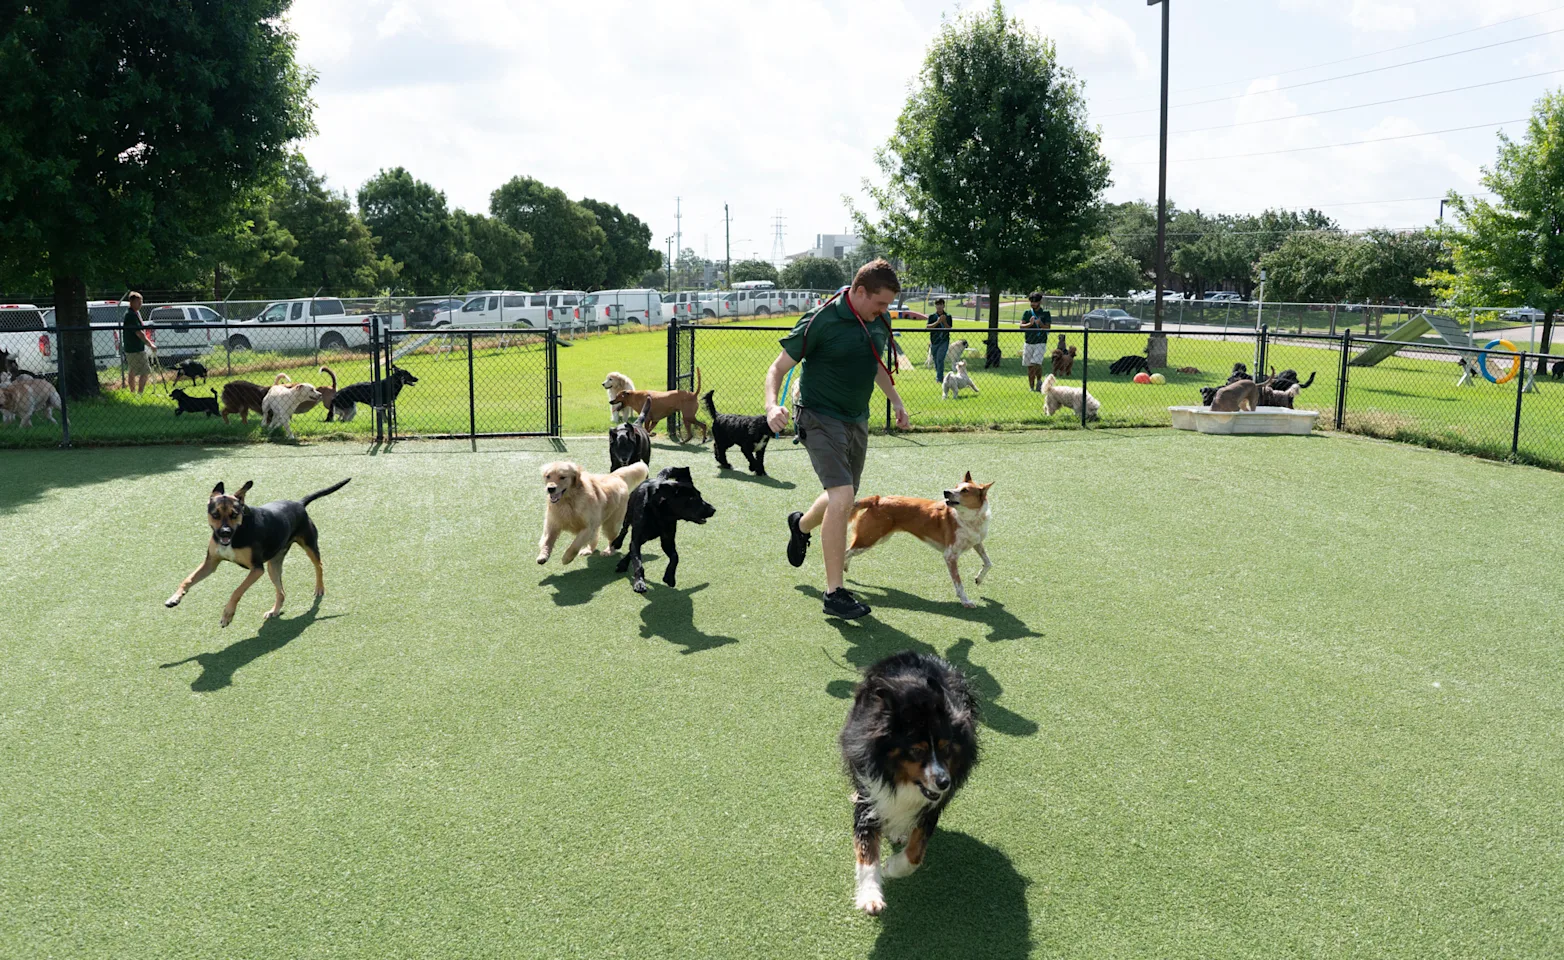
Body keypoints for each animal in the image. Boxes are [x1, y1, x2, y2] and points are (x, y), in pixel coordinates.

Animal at [163, 481, 350, 631]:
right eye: (215, 514)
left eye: (234, 514)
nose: (224, 532)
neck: (237, 534)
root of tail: (299, 504)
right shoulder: (211, 563)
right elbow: (188, 579)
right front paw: (174, 598)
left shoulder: (256, 569)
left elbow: (237, 591)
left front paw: (227, 615)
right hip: (273, 566)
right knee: (281, 592)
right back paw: (274, 610)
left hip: (308, 545)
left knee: (319, 565)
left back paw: (319, 588)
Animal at [609, 465, 716, 594]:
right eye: (692, 498)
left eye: (700, 495)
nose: (713, 509)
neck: (660, 514)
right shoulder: (637, 538)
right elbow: (638, 563)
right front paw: (639, 583)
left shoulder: (667, 540)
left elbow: (675, 557)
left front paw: (669, 577)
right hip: (629, 514)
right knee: (624, 530)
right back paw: (617, 543)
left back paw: (623, 563)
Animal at [844, 472, 988, 609]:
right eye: (956, 486)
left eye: (965, 490)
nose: (946, 492)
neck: (970, 519)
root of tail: (876, 499)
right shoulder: (950, 555)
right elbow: (959, 583)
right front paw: (965, 601)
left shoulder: (977, 542)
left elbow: (988, 562)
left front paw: (979, 579)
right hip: (869, 540)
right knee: (845, 552)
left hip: (877, 538)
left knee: (849, 551)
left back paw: (845, 567)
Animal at [844, 653, 975, 919]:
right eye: (916, 750)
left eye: (947, 747)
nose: (944, 782)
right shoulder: (870, 796)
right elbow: (866, 850)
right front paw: (870, 896)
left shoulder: (933, 805)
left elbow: (915, 854)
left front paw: (891, 867)